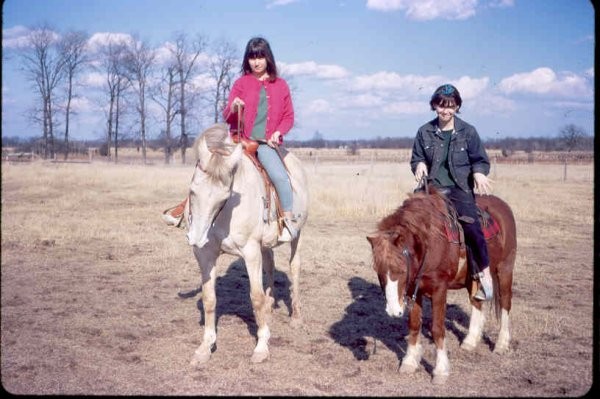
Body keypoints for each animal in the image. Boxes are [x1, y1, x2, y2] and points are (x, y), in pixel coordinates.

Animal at [185, 123, 310, 368]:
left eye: (224, 196)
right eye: (193, 191)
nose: (195, 238)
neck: (225, 213)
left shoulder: (251, 253)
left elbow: (256, 297)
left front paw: (262, 346)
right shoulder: (206, 255)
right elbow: (209, 298)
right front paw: (205, 347)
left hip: (297, 237)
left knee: (295, 269)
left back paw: (297, 317)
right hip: (266, 245)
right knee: (270, 265)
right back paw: (272, 304)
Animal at [366, 189, 516, 386]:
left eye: (401, 269)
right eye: (378, 270)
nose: (393, 310)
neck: (429, 242)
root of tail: (504, 207)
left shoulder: (439, 290)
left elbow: (437, 329)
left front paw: (441, 370)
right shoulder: (414, 289)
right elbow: (414, 324)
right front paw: (409, 362)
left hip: (505, 269)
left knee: (505, 304)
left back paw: (501, 344)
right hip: (473, 280)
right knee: (476, 302)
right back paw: (470, 341)